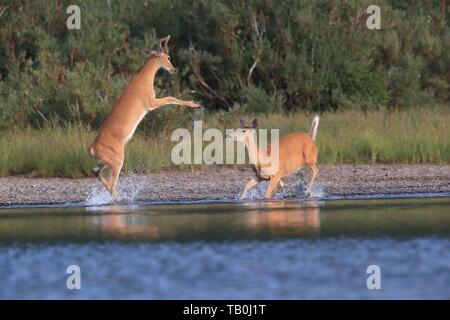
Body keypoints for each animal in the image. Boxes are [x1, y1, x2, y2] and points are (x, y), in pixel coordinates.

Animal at [88, 35, 200, 195]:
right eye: (168, 57)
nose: (173, 69)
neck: (144, 80)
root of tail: (92, 148)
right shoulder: (151, 102)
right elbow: (170, 98)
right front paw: (195, 104)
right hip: (117, 159)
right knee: (111, 185)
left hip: (105, 160)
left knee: (95, 172)